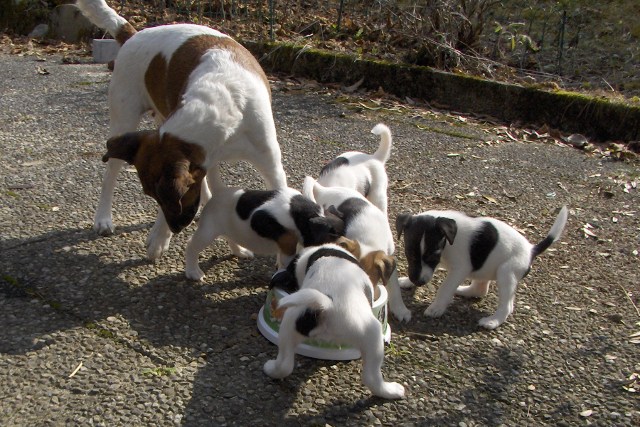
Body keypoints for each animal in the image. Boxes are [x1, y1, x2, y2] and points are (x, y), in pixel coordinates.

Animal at [75, 0, 288, 260]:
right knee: (109, 175)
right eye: (154, 197)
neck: (220, 101)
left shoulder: (268, 164)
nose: (176, 226)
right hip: (123, 122)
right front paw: (159, 237)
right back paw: (103, 218)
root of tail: (133, 35)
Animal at [396, 206, 568, 330]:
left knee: (507, 306)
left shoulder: (459, 268)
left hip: (506, 273)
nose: (418, 282)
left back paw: (493, 321)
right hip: (485, 268)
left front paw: (436, 307)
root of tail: (531, 250)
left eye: (433, 256)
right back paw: (464, 291)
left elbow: (445, 288)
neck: (449, 241)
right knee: (481, 289)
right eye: (409, 253)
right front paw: (407, 281)